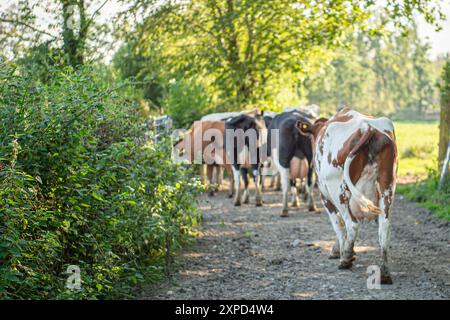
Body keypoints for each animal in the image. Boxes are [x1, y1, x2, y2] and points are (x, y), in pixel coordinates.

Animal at [298, 109, 398, 284]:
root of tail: (367, 128)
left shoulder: (325, 197)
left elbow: (338, 225)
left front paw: (340, 251)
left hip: (339, 193)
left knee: (351, 224)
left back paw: (346, 259)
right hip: (387, 189)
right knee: (384, 228)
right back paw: (385, 272)